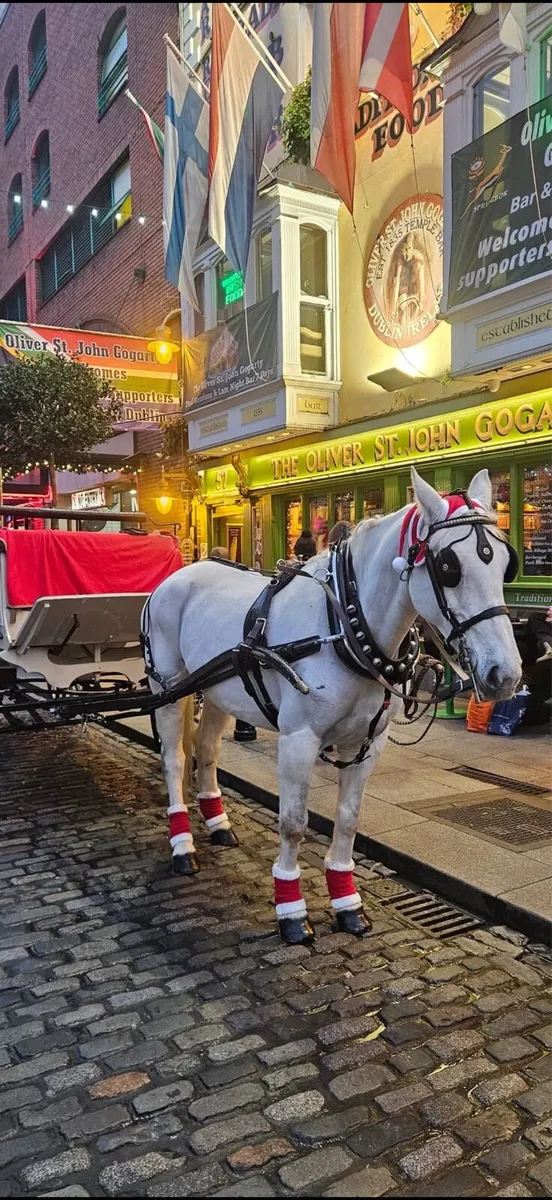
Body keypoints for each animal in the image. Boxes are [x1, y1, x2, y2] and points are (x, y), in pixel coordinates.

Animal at [146, 468, 522, 944]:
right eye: (449, 568)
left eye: (505, 563)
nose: (504, 674)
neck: (346, 626)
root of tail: (180, 574)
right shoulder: (298, 739)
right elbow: (293, 821)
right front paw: (290, 909)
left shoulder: (368, 742)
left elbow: (348, 817)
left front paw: (347, 903)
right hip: (170, 688)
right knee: (175, 759)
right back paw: (182, 845)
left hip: (217, 691)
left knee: (207, 750)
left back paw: (218, 824)